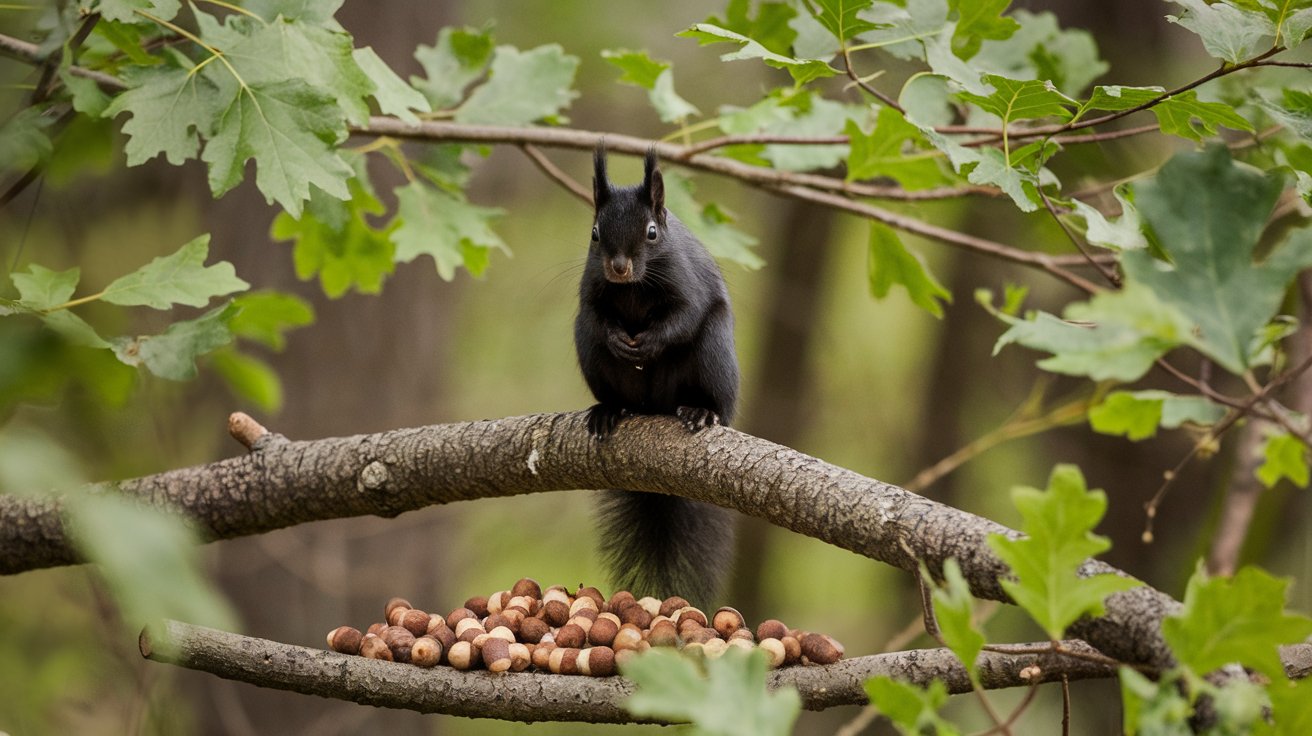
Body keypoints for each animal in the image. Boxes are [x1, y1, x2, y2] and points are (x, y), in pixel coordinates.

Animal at [574, 146, 739, 606]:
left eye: (651, 232)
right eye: (595, 233)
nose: (618, 266)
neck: (633, 286)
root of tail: (654, 406)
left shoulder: (687, 283)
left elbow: (683, 317)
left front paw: (647, 343)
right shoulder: (590, 290)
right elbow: (597, 315)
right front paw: (618, 338)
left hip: (714, 353)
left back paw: (702, 413)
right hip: (586, 346)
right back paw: (610, 411)